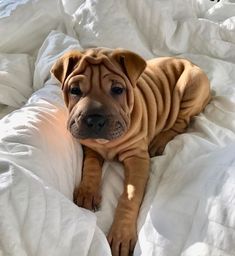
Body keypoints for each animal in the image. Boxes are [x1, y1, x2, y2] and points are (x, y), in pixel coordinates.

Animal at [50, 47, 210, 255]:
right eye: (74, 90)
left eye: (117, 89)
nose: (94, 120)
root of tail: (192, 63)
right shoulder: (90, 147)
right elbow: (90, 167)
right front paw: (87, 191)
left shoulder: (137, 159)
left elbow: (129, 196)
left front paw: (121, 235)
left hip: (190, 88)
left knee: (181, 122)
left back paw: (159, 141)